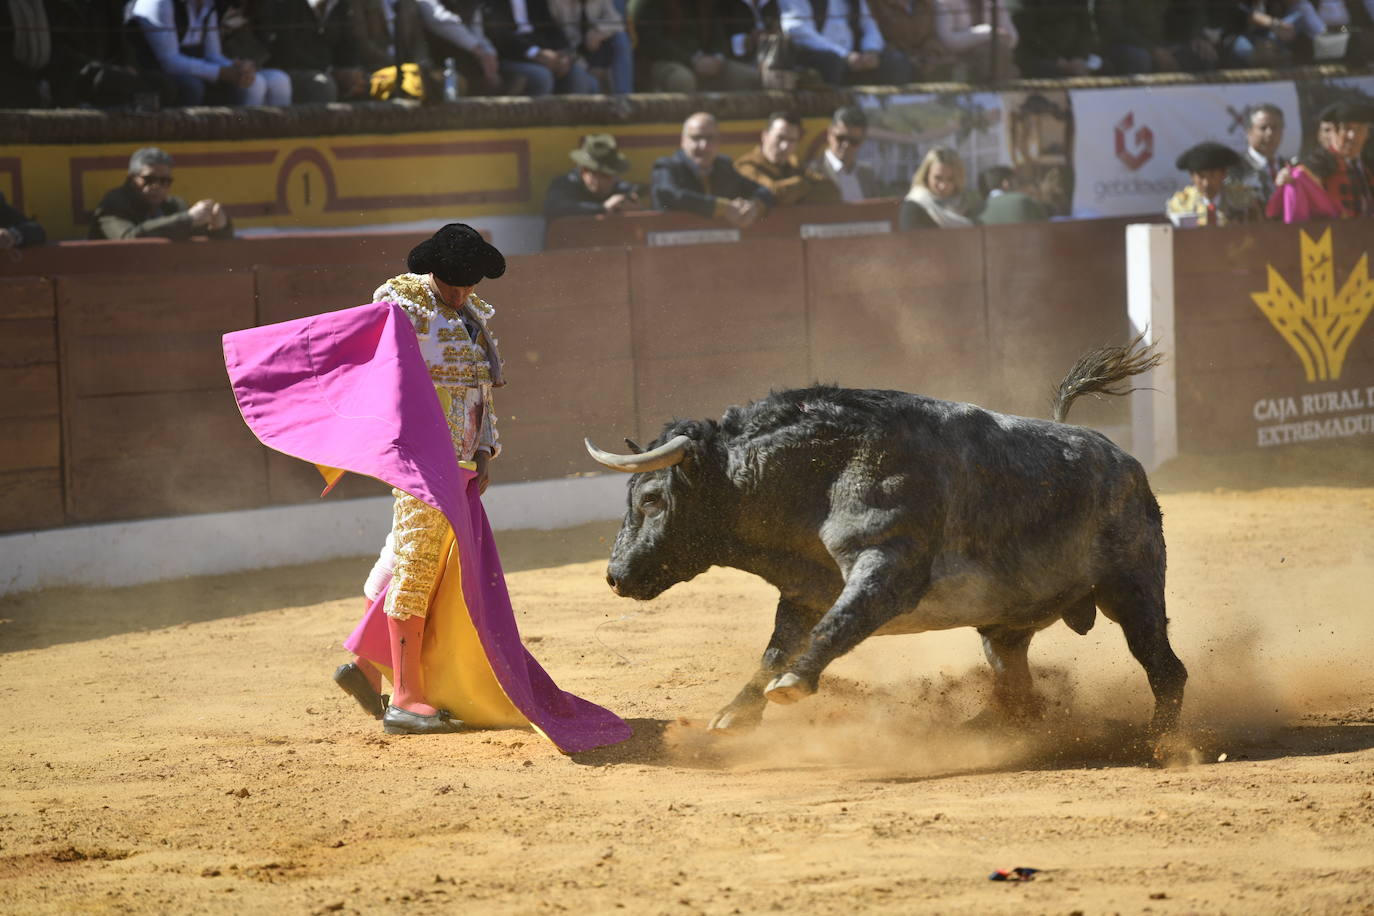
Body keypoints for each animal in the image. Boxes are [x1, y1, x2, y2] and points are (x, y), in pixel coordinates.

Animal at [585, 340, 1187, 741]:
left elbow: (836, 625)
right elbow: (776, 647)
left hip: (1132, 587)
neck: (820, 472)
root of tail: (1122, 460)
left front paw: (793, 685)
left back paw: (1159, 744)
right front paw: (734, 714)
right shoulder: (805, 591)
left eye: (651, 499)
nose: (614, 577)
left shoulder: (886, 565)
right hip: (1006, 625)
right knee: (1015, 680)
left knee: (1164, 667)